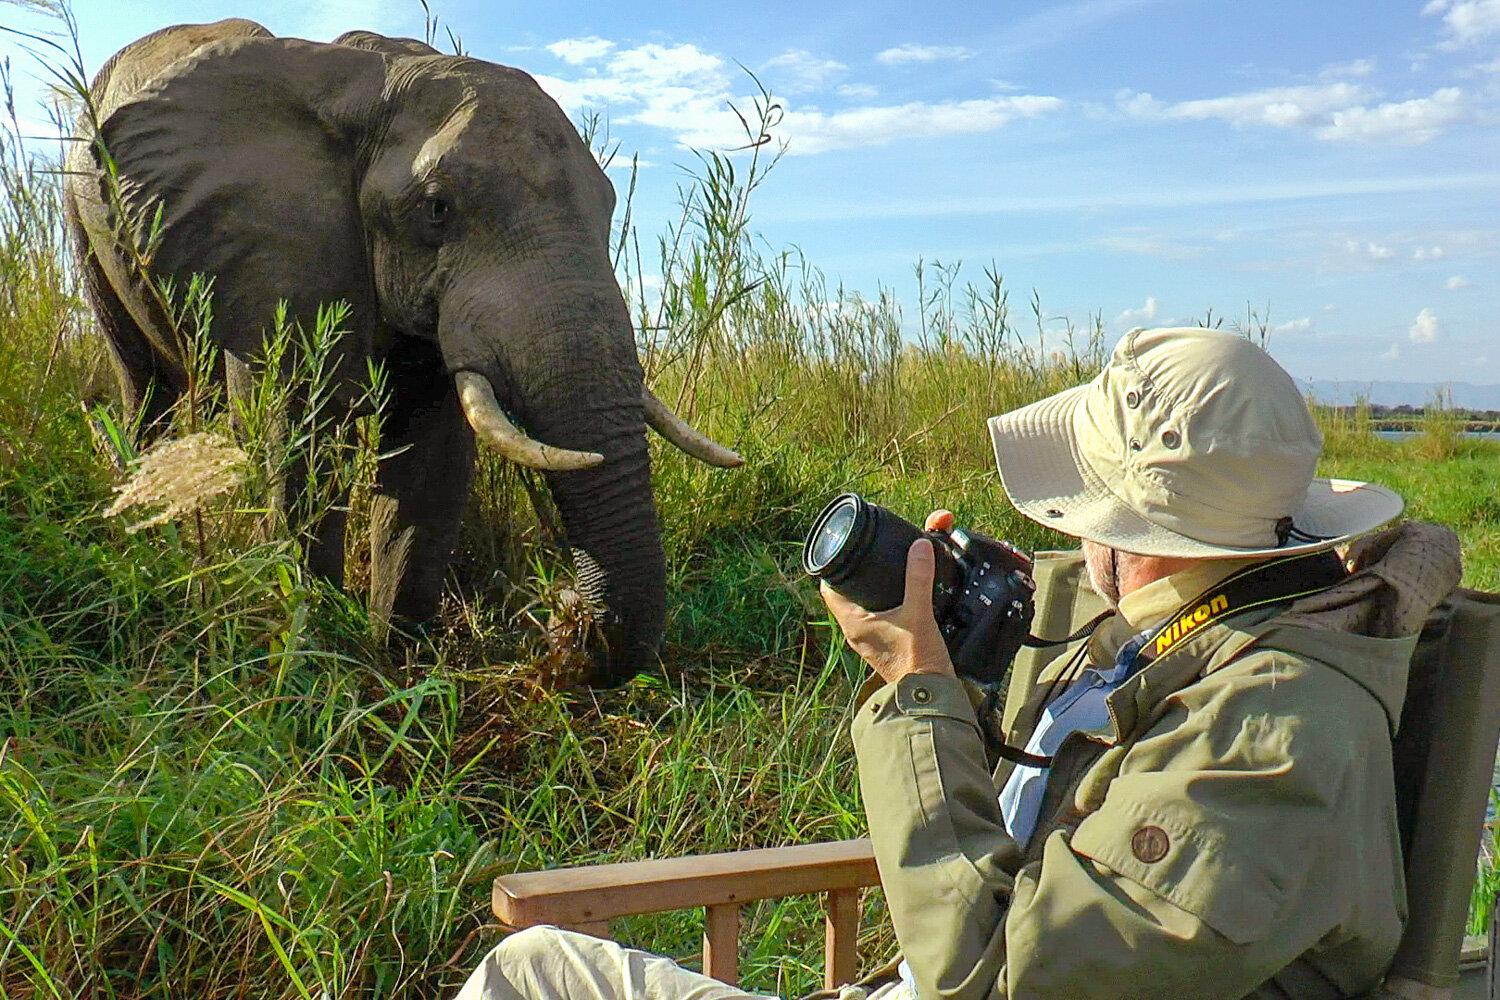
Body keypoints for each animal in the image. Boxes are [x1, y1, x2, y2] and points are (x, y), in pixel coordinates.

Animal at [65, 19, 741, 685]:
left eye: (609, 209)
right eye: (437, 209)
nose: (565, 626)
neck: (378, 78)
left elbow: (431, 460)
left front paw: (400, 664)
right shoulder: (282, 260)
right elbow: (299, 449)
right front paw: (319, 660)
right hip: (84, 221)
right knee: (144, 385)